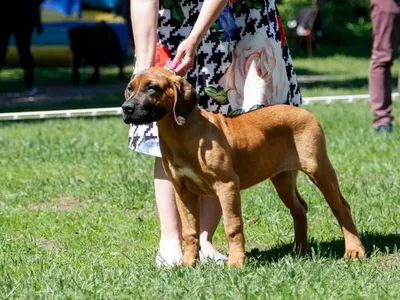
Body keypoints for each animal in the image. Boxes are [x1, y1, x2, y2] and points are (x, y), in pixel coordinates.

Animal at [122, 66, 366, 268]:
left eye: (152, 87)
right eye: (130, 89)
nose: (126, 108)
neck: (179, 133)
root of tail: (303, 111)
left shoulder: (227, 184)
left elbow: (233, 226)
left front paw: (236, 262)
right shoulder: (183, 190)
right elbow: (190, 231)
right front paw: (187, 264)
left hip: (319, 168)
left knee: (341, 207)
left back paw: (354, 250)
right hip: (282, 178)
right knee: (299, 208)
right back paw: (298, 250)